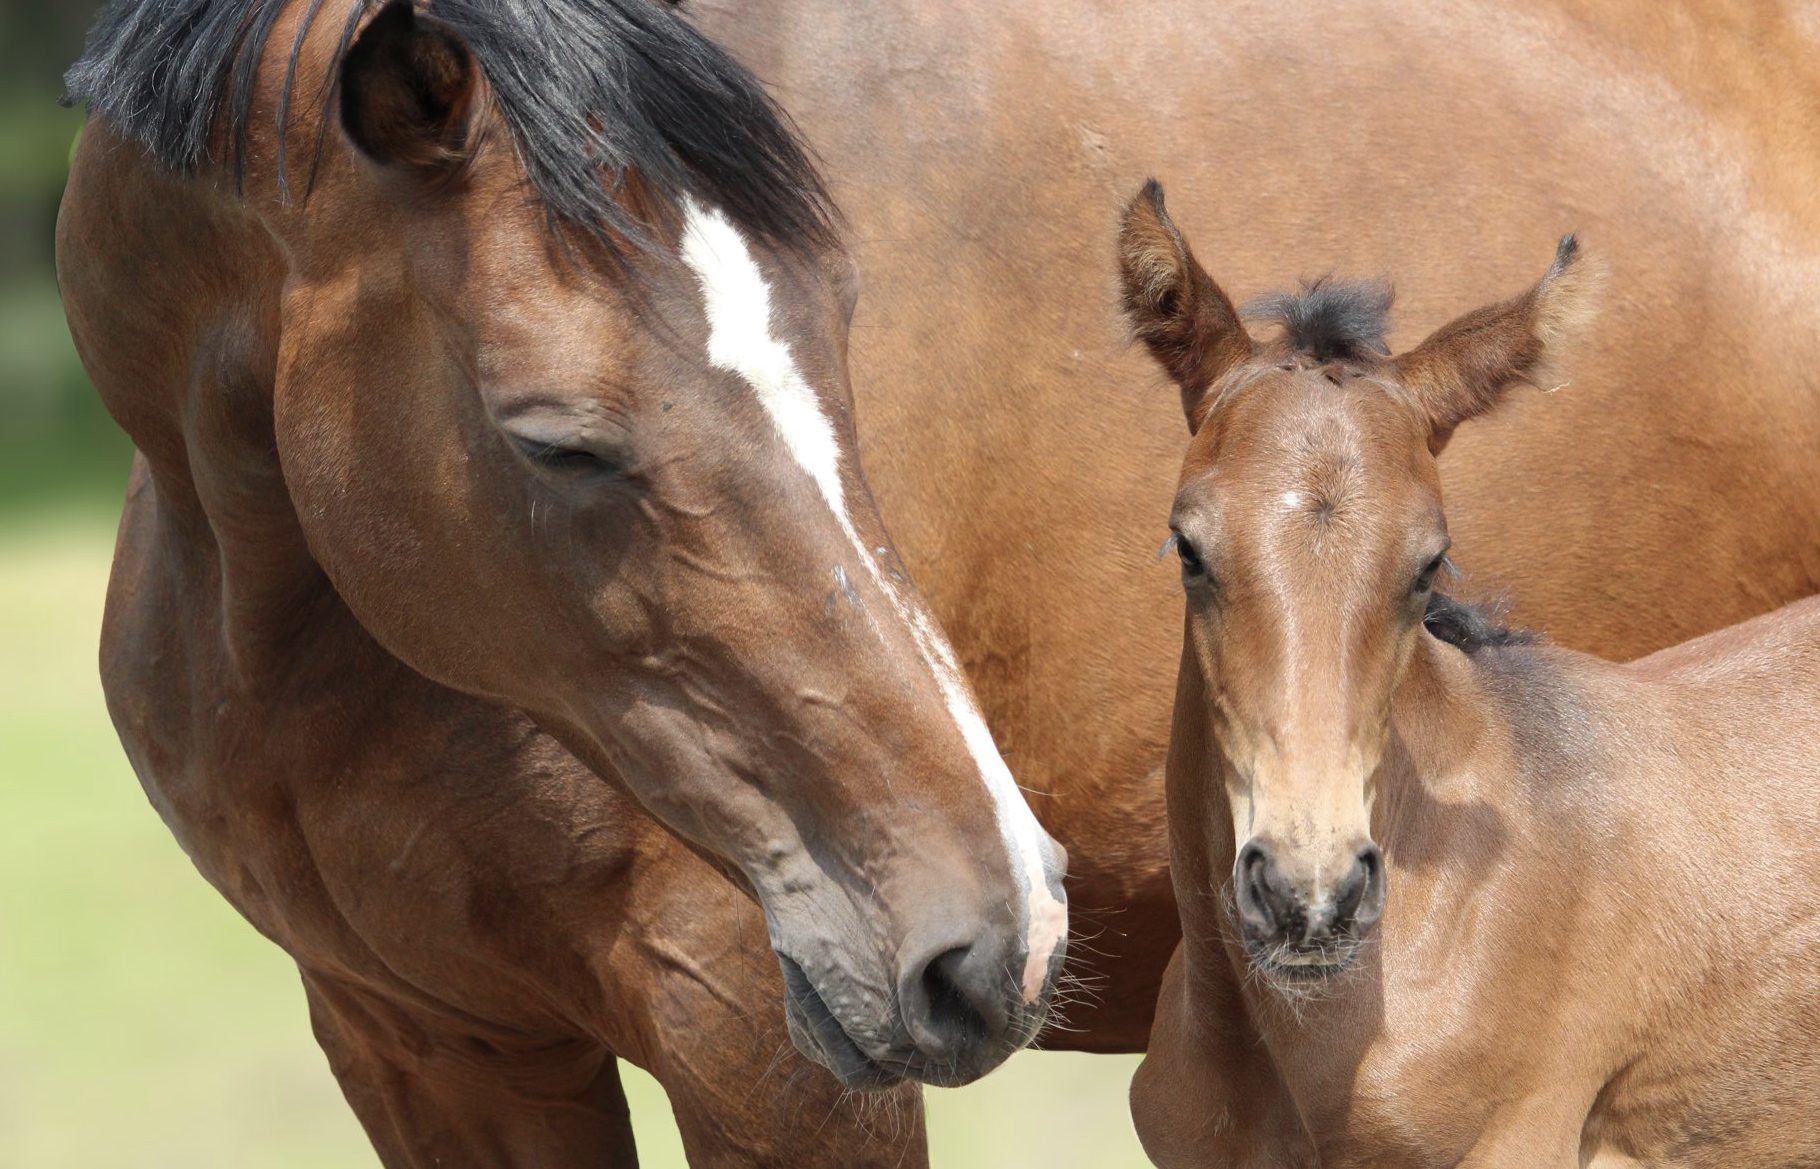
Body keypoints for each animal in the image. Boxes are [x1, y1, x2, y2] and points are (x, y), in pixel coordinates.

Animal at [60, 0, 1062, 1158]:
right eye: (557, 442)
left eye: (842, 321)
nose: (1009, 936)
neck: (294, 676)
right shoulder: (422, 1046)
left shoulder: (757, 1051)